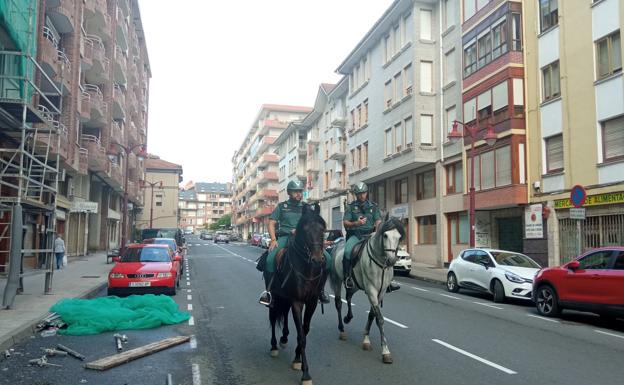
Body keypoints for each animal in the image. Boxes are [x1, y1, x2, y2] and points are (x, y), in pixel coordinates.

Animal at [264, 202, 330, 382]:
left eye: (323, 229)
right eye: (305, 229)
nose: (317, 259)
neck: (307, 268)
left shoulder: (312, 302)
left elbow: (305, 331)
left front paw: (297, 359)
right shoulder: (297, 302)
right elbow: (301, 334)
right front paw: (305, 373)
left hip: (286, 298)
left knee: (284, 315)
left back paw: (284, 337)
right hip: (275, 298)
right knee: (273, 318)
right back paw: (274, 345)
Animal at [330, 216, 408, 364]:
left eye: (399, 237)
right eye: (385, 235)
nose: (392, 260)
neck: (380, 262)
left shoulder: (380, 292)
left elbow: (372, 315)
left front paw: (366, 340)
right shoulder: (371, 290)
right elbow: (380, 319)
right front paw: (385, 351)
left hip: (354, 285)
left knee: (348, 297)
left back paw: (348, 317)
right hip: (337, 280)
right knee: (338, 303)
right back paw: (342, 329)